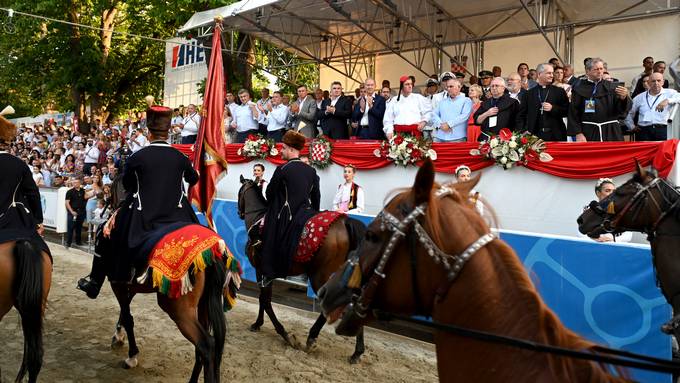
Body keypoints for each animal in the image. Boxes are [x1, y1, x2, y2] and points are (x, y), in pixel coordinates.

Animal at [95, 175, 228, 383]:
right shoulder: (131, 286)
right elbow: (125, 312)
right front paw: (119, 336)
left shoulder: (118, 282)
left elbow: (127, 315)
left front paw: (131, 355)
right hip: (204, 305)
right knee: (207, 347)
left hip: (179, 309)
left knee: (206, 345)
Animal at [238, 177, 366, 364]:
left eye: (240, 193)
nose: (239, 212)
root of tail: (346, 222)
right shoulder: (266, 273)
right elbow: (263, 300)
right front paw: (258, 324)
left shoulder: (261, 270)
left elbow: (265, 301)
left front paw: (284, 334)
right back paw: (357, 352)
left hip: (321, 275)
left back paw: (311, 338)